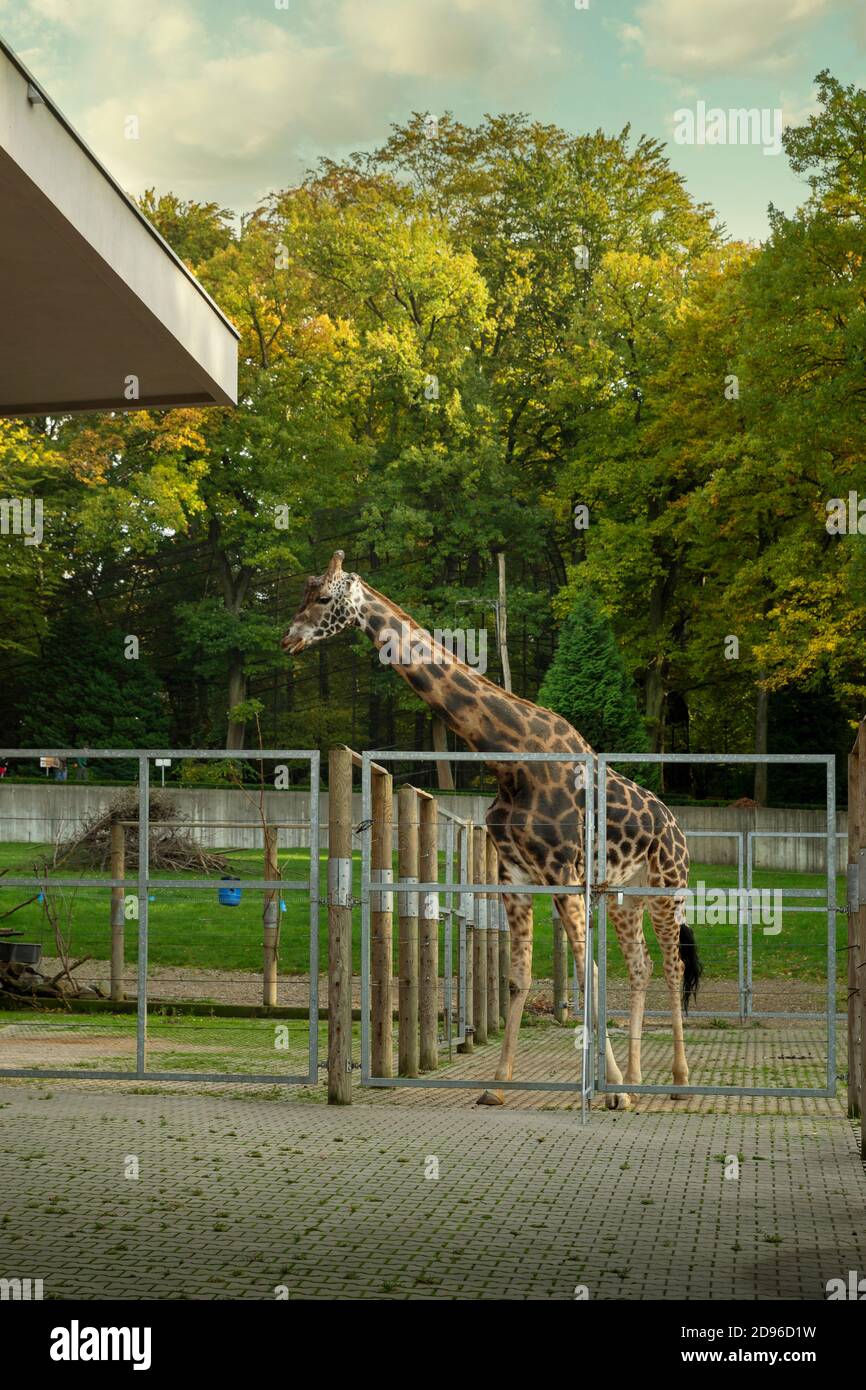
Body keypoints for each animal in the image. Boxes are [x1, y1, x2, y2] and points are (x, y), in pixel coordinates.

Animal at [282, 552, 702, 1108]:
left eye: (326, 597)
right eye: (304, 594)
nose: (288, 639)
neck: (509, 759)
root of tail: (676, 826)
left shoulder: (561, 873)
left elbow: (586, 973)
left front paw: (608, 1090)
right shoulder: (516, 876)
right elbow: (518, 978)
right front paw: (499, 1085)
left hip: (666, 887)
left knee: (673, 968)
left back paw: (677, 1081)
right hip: (621, 895)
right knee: (642, 967)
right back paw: (635, 1078)